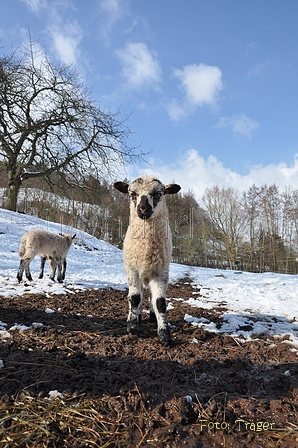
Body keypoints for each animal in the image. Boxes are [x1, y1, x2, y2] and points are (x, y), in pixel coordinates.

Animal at [114, 173, 180, 344]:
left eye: (158, 193)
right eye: (132, 194)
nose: (143, 209)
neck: (146, 247)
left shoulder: (161, 271)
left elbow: (160, 303)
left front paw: (164, 334)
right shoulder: (131, 269)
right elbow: (135, 298)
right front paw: (132, 327)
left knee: (150, 296)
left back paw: (152, 316)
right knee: (138, 295)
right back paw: (136, 316)